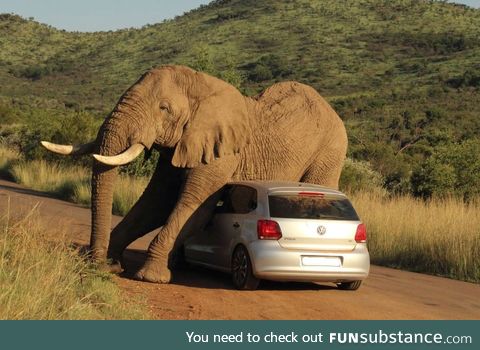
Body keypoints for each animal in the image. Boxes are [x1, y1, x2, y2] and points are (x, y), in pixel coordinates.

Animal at [41, 66, 346, 284]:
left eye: (164, 108)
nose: (95, 266)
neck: (201, 85)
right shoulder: (180, 145)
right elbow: (156, 203)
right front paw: (113, 265)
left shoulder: (222, 154)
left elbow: (194, 208)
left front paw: (151, 277)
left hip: (329, 152)